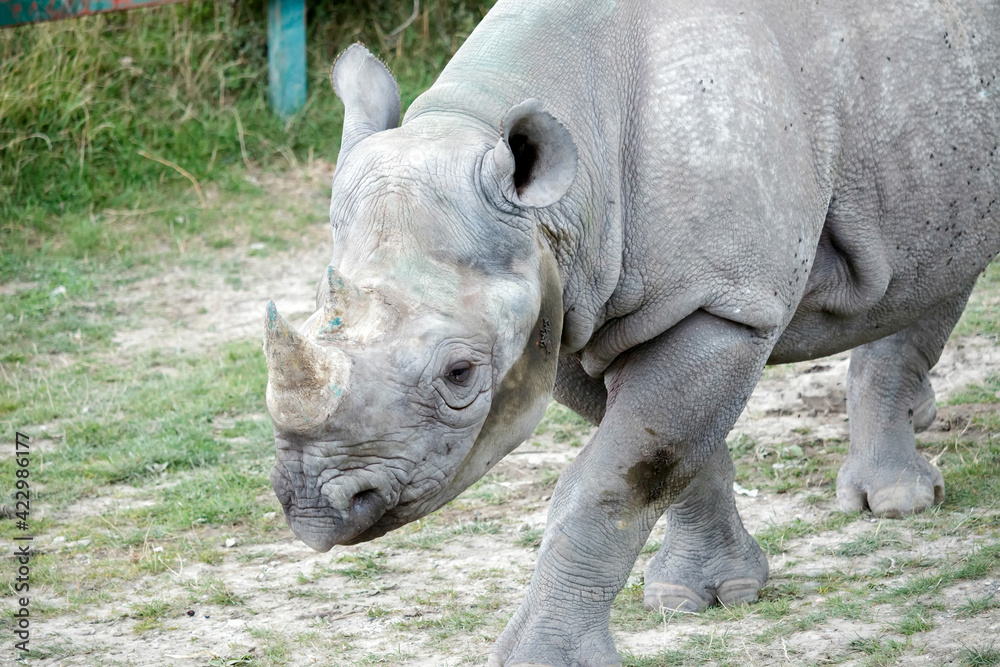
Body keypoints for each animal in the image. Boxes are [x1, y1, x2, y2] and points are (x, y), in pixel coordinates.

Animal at [262, 0, 1000, 664]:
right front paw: (705, 594)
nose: (315, 510)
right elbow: (677, 455)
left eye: (459, 374)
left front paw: (540, 658)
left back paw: (897, 504)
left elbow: (610, 482)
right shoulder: (568, 304)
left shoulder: (720, 304)